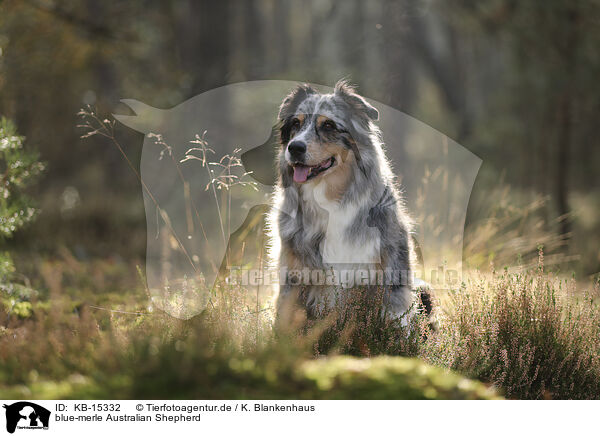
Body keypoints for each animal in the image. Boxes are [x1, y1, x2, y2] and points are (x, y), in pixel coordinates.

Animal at [268, 81, 426, 328]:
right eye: (295, 123)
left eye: (329, 125)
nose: (294, 148)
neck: (329, 200)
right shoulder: (293, 274)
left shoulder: (388, 272)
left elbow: (394, 319)